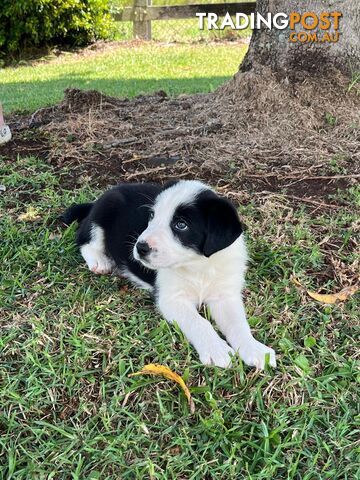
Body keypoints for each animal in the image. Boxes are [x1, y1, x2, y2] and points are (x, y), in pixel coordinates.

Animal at [63, 182, 276, 370]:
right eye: (152, 216)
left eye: (181, 225)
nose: (140, 248)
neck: (198, 266)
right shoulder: (172, 299)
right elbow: (199, 322)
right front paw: (217, 350)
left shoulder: (225, 296)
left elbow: (238, 324)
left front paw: (255, 349)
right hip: (103, 212)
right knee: (84, 238)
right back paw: (100, 261)